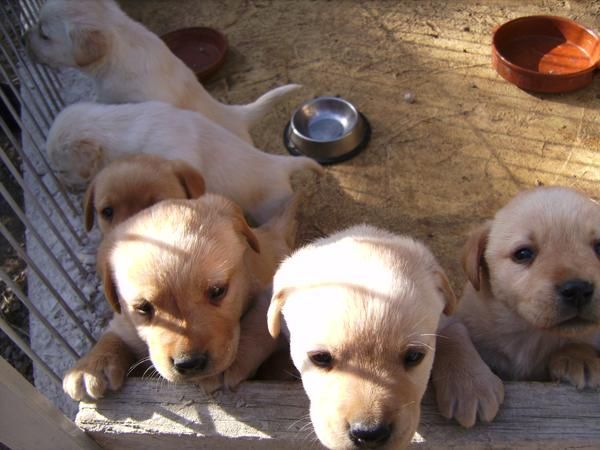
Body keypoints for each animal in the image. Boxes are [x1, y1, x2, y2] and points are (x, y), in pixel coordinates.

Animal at [63, 192, 298, 400]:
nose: (189, 363)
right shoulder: (124, 323)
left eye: (217, 291)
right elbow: (113, 336)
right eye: (143, 308)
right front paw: (89, 368)